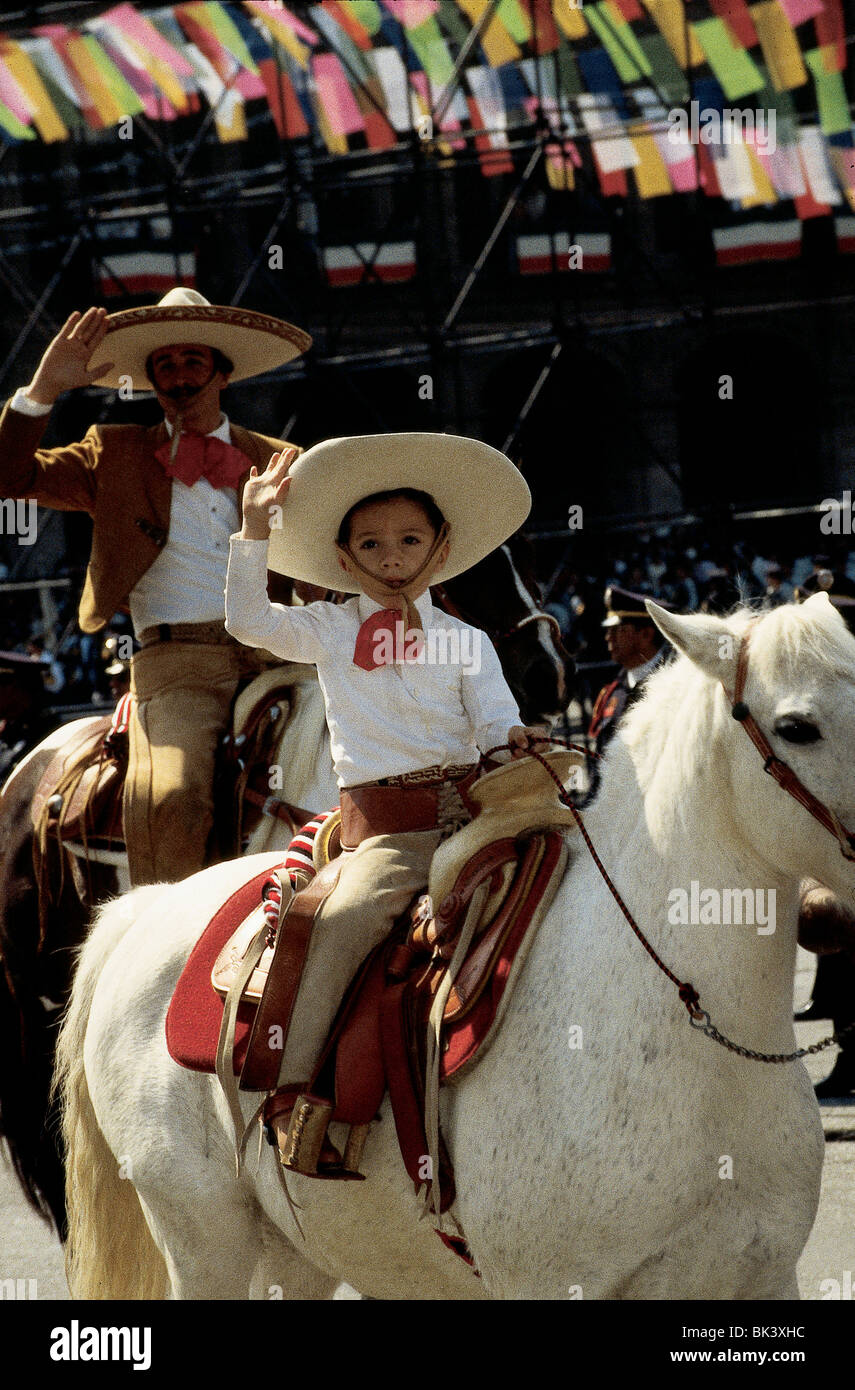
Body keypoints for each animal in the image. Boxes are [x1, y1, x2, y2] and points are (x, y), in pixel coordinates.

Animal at [53, 597, 855, 1301]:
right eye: (796, 727)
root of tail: (146, 909)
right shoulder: (553, 1286)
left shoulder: (763, 1276)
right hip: (204, 1239)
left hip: (295, 1251)